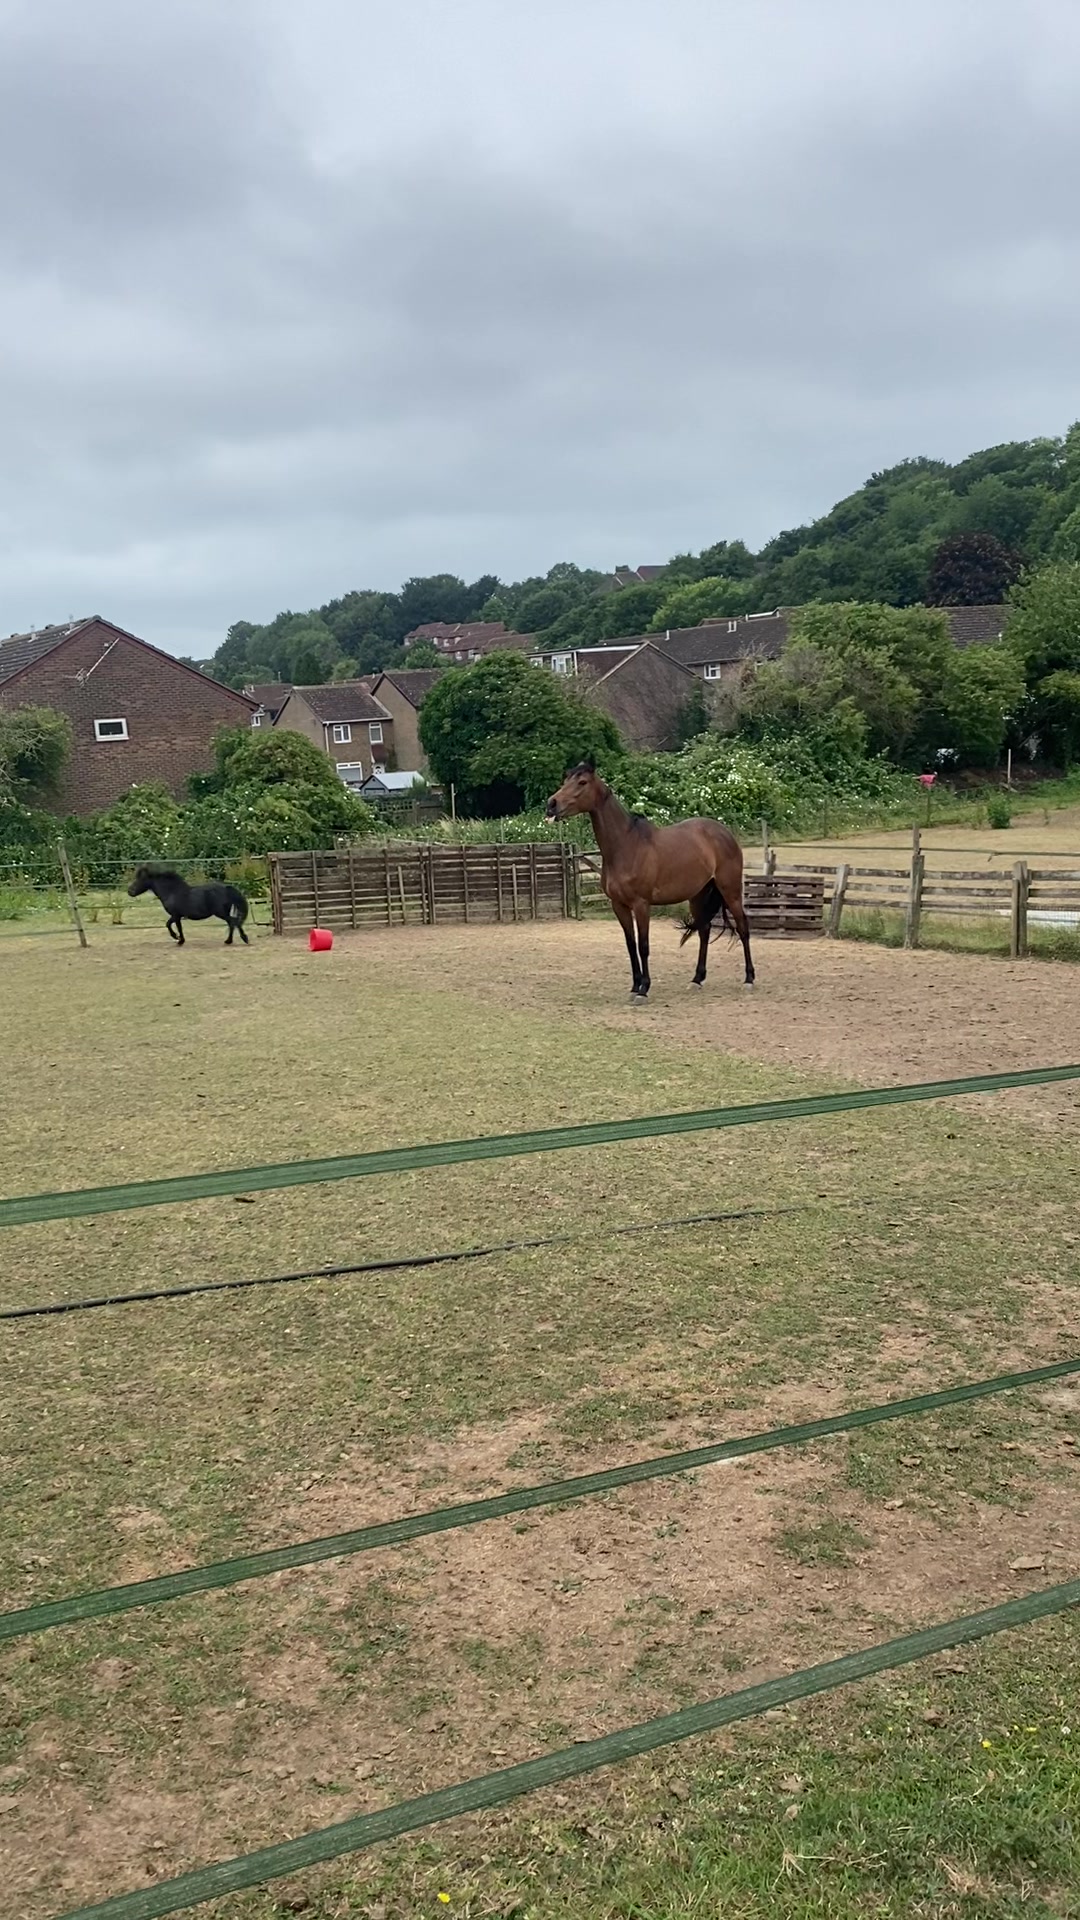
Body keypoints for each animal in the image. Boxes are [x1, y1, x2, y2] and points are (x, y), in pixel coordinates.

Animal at [546, 760, 754, 998]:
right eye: (566, 780)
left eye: (582, 782)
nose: (551, 804)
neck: (626, 846)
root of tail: (725, 833)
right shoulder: (619, 906)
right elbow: (630, 945)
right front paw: (635, 986)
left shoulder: (641, 905)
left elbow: (643, 946)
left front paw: (644, 989)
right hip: (698, 895)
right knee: (704, 930)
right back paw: (696, 979)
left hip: (730, 891)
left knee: (743, 928)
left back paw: (749, 979)